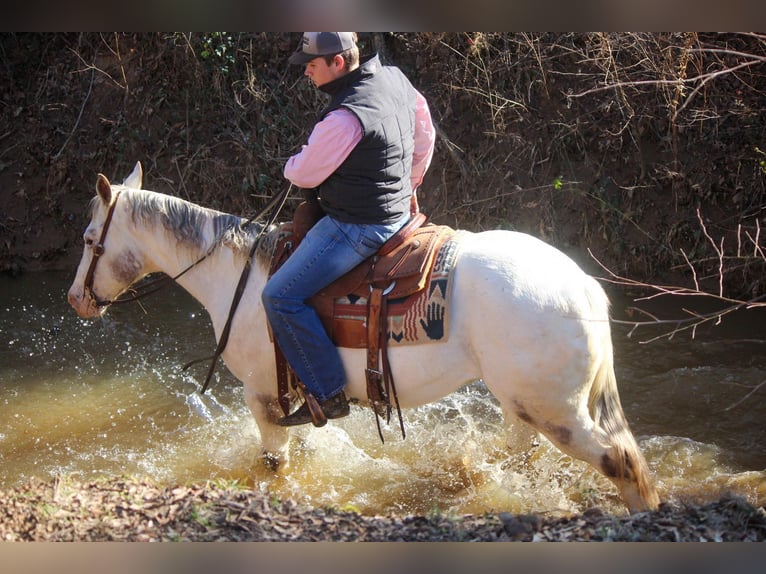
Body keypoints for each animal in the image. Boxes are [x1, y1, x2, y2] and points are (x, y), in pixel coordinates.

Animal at [69, 161, 664, 512]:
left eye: (90, 238)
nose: (77, 299)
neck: (237, 274)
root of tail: (584, 286)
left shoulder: (262, 397)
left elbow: (273, 464)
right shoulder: (298, 396)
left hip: (554, 409)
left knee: (619, 462)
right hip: (523, 404)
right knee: (522, 453)